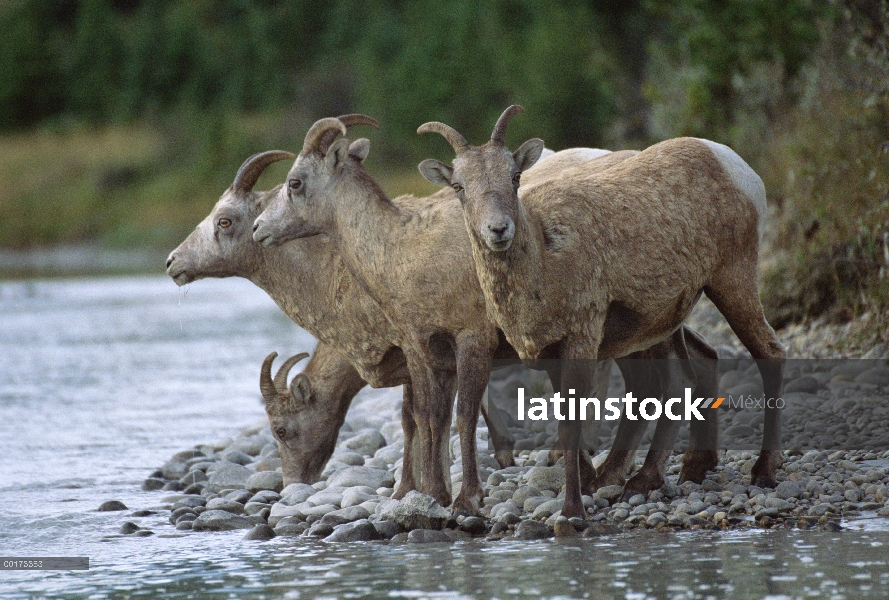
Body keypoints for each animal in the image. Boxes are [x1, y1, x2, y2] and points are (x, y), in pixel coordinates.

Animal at [248, 116, 720, 510]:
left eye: (294, 183)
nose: (258, 229)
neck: (403, 252)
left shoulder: (471, 339)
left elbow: (461, 415)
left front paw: (464, 498)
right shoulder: (423, 352)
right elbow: (428, 418)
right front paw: (432, 495)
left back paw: (640, 477)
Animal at [416, 105, 784, 516]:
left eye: (514, 176)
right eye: (459, 187)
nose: (498, 230)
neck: (545, 260)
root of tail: (735, 166)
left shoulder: (582, 336)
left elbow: (573, 423)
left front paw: (572, 512)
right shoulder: (552, 352)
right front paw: (587, 485)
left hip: (731, 280)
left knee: (766, 354)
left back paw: (760, 472)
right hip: (663, 320)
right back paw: (662, 474)